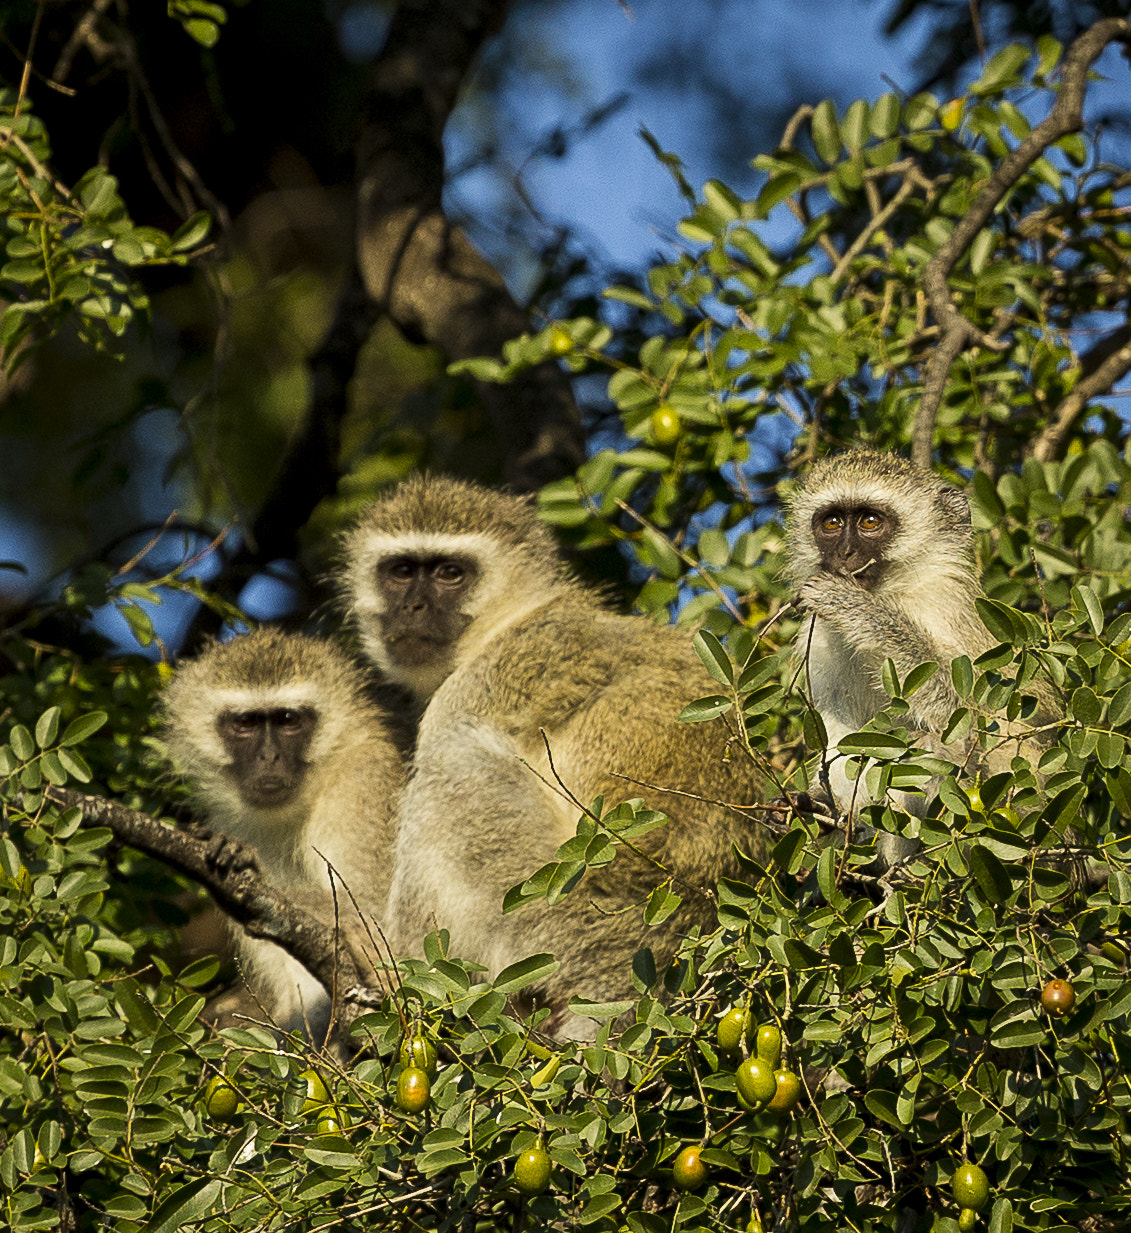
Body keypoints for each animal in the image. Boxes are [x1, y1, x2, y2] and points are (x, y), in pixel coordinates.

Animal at [161, 631, 404, 1045]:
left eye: (288, 720)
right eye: (246, 722)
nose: (269, 757)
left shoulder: (363, 784)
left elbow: (376, 917)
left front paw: (253, 875)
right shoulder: (233, 819)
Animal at [342, 471, 769, 1040]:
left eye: (451, 573)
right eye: (401, 571)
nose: (412, 608)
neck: (505, 621)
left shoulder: (484, 683)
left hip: (562, 908)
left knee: (457, 767)